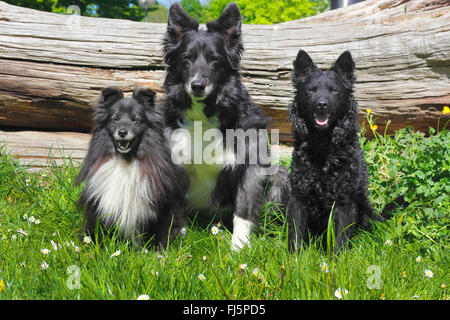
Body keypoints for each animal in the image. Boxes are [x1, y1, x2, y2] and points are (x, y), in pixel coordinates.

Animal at [77, 87, 185, 250]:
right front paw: (100, 249)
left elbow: (160, 234)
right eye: (115, 118)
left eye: (136, 120)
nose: (122, 132)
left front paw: (158, 252)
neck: (126, 161)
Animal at [162, 2, 288, 251]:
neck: (204, 114)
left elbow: (244, 209)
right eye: (186, 58)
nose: (198, 86)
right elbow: (176, 204)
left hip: (280, 177)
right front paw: (177, 236)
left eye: (215, 59)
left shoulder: (251, 165)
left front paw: (239, 246)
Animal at [288, 49, 404, 250]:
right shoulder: (299, 196)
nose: (322, 104)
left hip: (365, 210)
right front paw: (294, 257)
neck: (323, 145)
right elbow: (296, 235)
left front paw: (338, 257)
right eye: (311, 90)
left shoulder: (344, 199)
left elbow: (340, 237)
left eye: (334, 90)